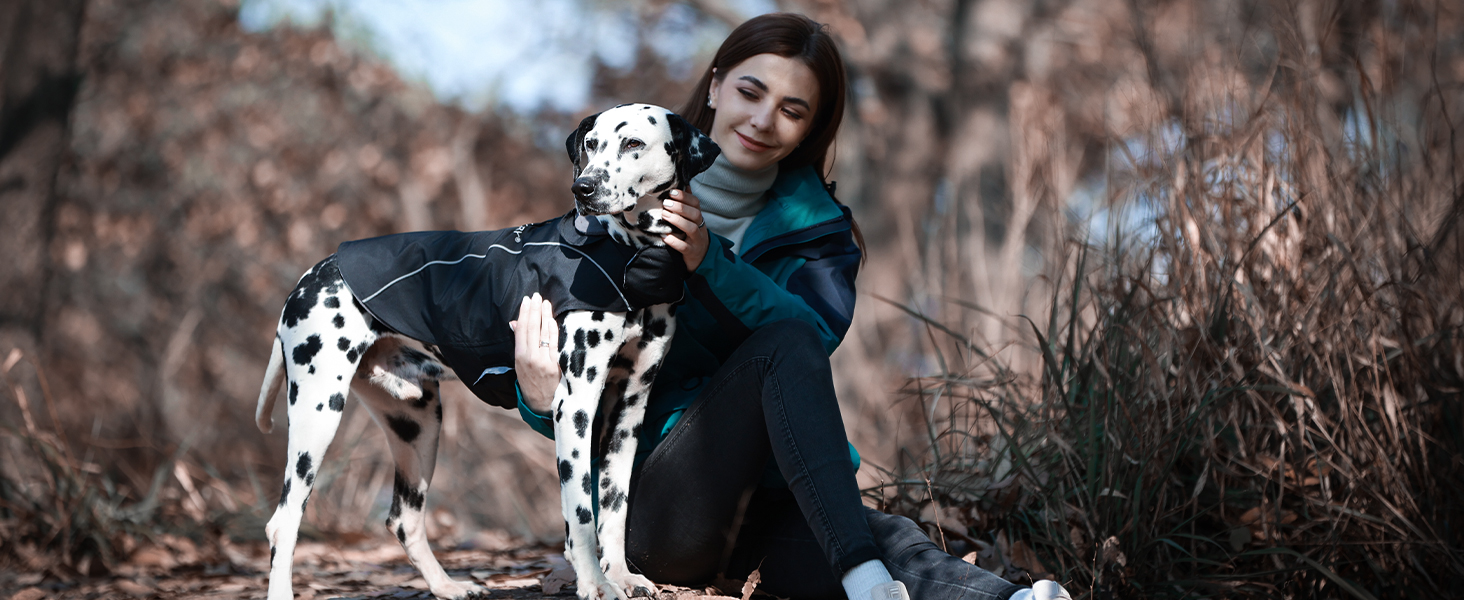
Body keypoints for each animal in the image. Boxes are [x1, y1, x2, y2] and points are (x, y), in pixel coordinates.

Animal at [259, 105, 726, 600]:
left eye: (634, 143)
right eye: (591, 144)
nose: (584, 188)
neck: (630, 259)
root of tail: (316, 272)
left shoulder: (628, 409)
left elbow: (614, 507)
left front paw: (619, 575)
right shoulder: (575, 404)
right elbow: (581, 512)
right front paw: (594, 584)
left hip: (416, 424)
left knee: (404, 519)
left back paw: (447, 586)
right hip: (318, 413)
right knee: (283, 521)